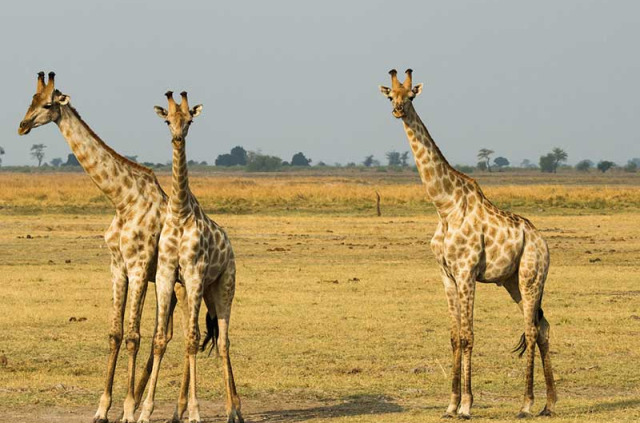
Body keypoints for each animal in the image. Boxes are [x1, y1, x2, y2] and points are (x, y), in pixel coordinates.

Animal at [16, 71, 185, 422]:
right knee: (168, 334)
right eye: (31, 99)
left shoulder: (138, 267)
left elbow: (133, 336)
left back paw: (165, 407)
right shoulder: (117, 268)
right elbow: (116, 334)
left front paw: (129, 409)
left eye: (48, 104)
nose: (22, 125)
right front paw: (104, 408)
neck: (123, 199)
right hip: (170, 286)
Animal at [138, 92, 242, 423]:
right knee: (196, 337)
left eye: (190, 121)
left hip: (224, 286)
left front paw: (195, 412)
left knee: (222, 342)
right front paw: (145, 412)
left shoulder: (194, 272)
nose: (177, 137)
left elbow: (195, 339)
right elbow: (161, 339)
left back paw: (233, 411)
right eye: (167, 120)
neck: (180, 211)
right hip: (198, 290)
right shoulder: (167, 273)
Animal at [380, 69, 556, 418]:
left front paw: (466, 406)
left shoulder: (466, 272)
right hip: (512, 282)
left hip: (531, 277)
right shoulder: (446, 275)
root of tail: (543, 242)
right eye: (391, 95)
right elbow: (453, 336)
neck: (444, 206)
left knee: (531, 330)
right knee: (541, 327)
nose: (397, 110)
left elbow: (468, 335)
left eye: (411, 96)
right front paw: (450, 404)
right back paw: (549, 402)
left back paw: (527, 404)